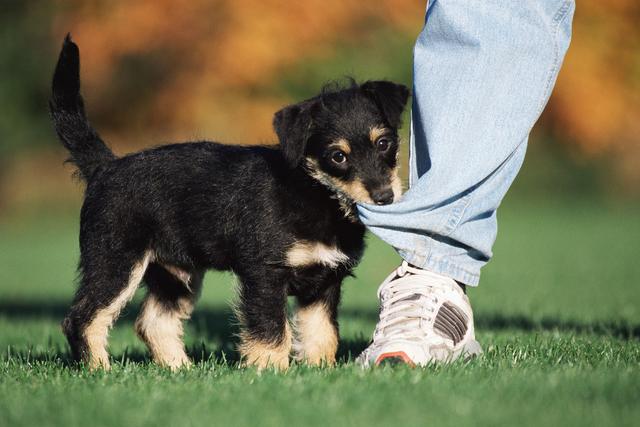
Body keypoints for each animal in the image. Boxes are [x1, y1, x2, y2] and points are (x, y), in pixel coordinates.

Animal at [50, 36, 410, 372]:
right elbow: (272, 330)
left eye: (384, 143)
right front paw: (270, 371)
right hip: (115, 262)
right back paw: (100, 370)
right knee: (82, 318)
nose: (384, 197)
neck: (314, 192)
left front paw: (319, 368)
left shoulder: (325, 280)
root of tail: (104, 167)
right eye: (337, 156)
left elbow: (321, 332)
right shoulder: (265, 274)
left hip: (174, 273)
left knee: (154, 322)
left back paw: (179, 369)